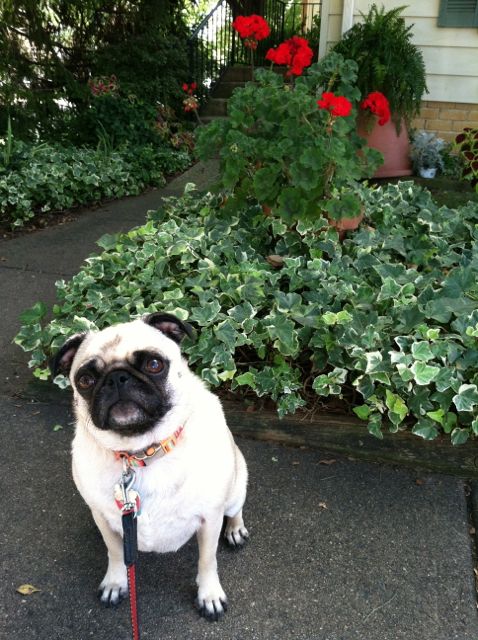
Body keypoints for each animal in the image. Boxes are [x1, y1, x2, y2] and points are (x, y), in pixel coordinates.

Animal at [50, 312, 248, 624]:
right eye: (86, 380)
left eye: (154, 365)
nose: (117, 378)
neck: (141, 453)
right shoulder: (105, 519)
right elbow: (115, 553)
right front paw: (116, 582)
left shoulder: (210, 517)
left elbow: (208, 559)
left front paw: (209, 595)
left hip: (236, 489)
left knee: (235, 509)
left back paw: (236, 530)